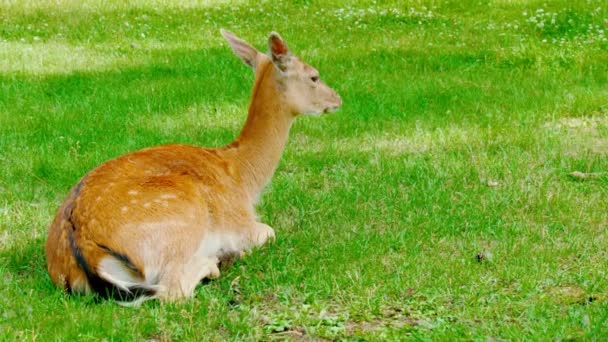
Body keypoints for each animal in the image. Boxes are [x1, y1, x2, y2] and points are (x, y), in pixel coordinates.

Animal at [44, 28, 342, 302]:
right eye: (314, 76)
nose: (338, 99)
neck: (243, 177)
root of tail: (85, 252)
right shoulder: (241, 223)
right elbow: (270, 231)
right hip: (183, 218)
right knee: (171, 290)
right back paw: (216, 261)